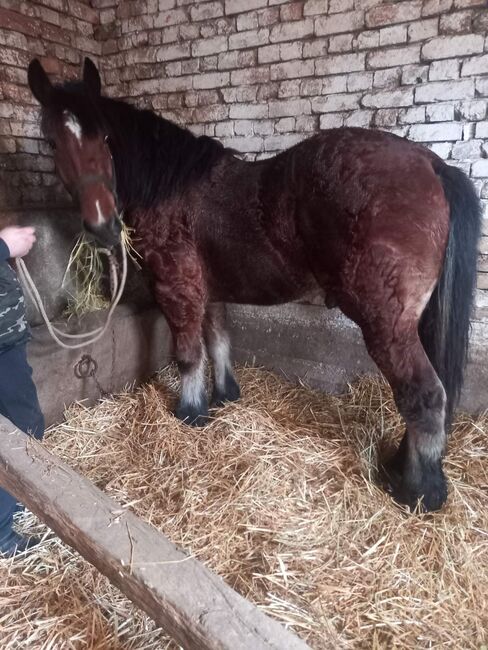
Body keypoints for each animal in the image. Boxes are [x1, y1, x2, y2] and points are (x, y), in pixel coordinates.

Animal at [27, 57, 480, 512]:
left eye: (105, 136)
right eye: (53, 143)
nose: (102, 226)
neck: (171, 187)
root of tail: (431, 165)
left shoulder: (177, 287)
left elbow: (189, 354)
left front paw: (191, 412)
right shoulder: (209, 291)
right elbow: (218, 342)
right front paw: (224, 395)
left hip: (386, 324)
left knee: (424, 394)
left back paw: (419, 491)